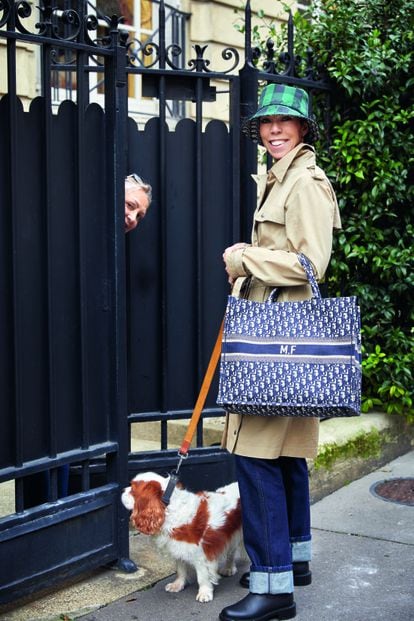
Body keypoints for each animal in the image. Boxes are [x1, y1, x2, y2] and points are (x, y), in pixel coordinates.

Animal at [120, 470, 243, 600]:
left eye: (133, 489)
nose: (121, 490)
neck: (168, 508)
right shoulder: (178, 547)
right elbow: (180, 569)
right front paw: (178, 585)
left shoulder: (200, 553)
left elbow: (202, 576)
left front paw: (204, 592)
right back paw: (229, 568)